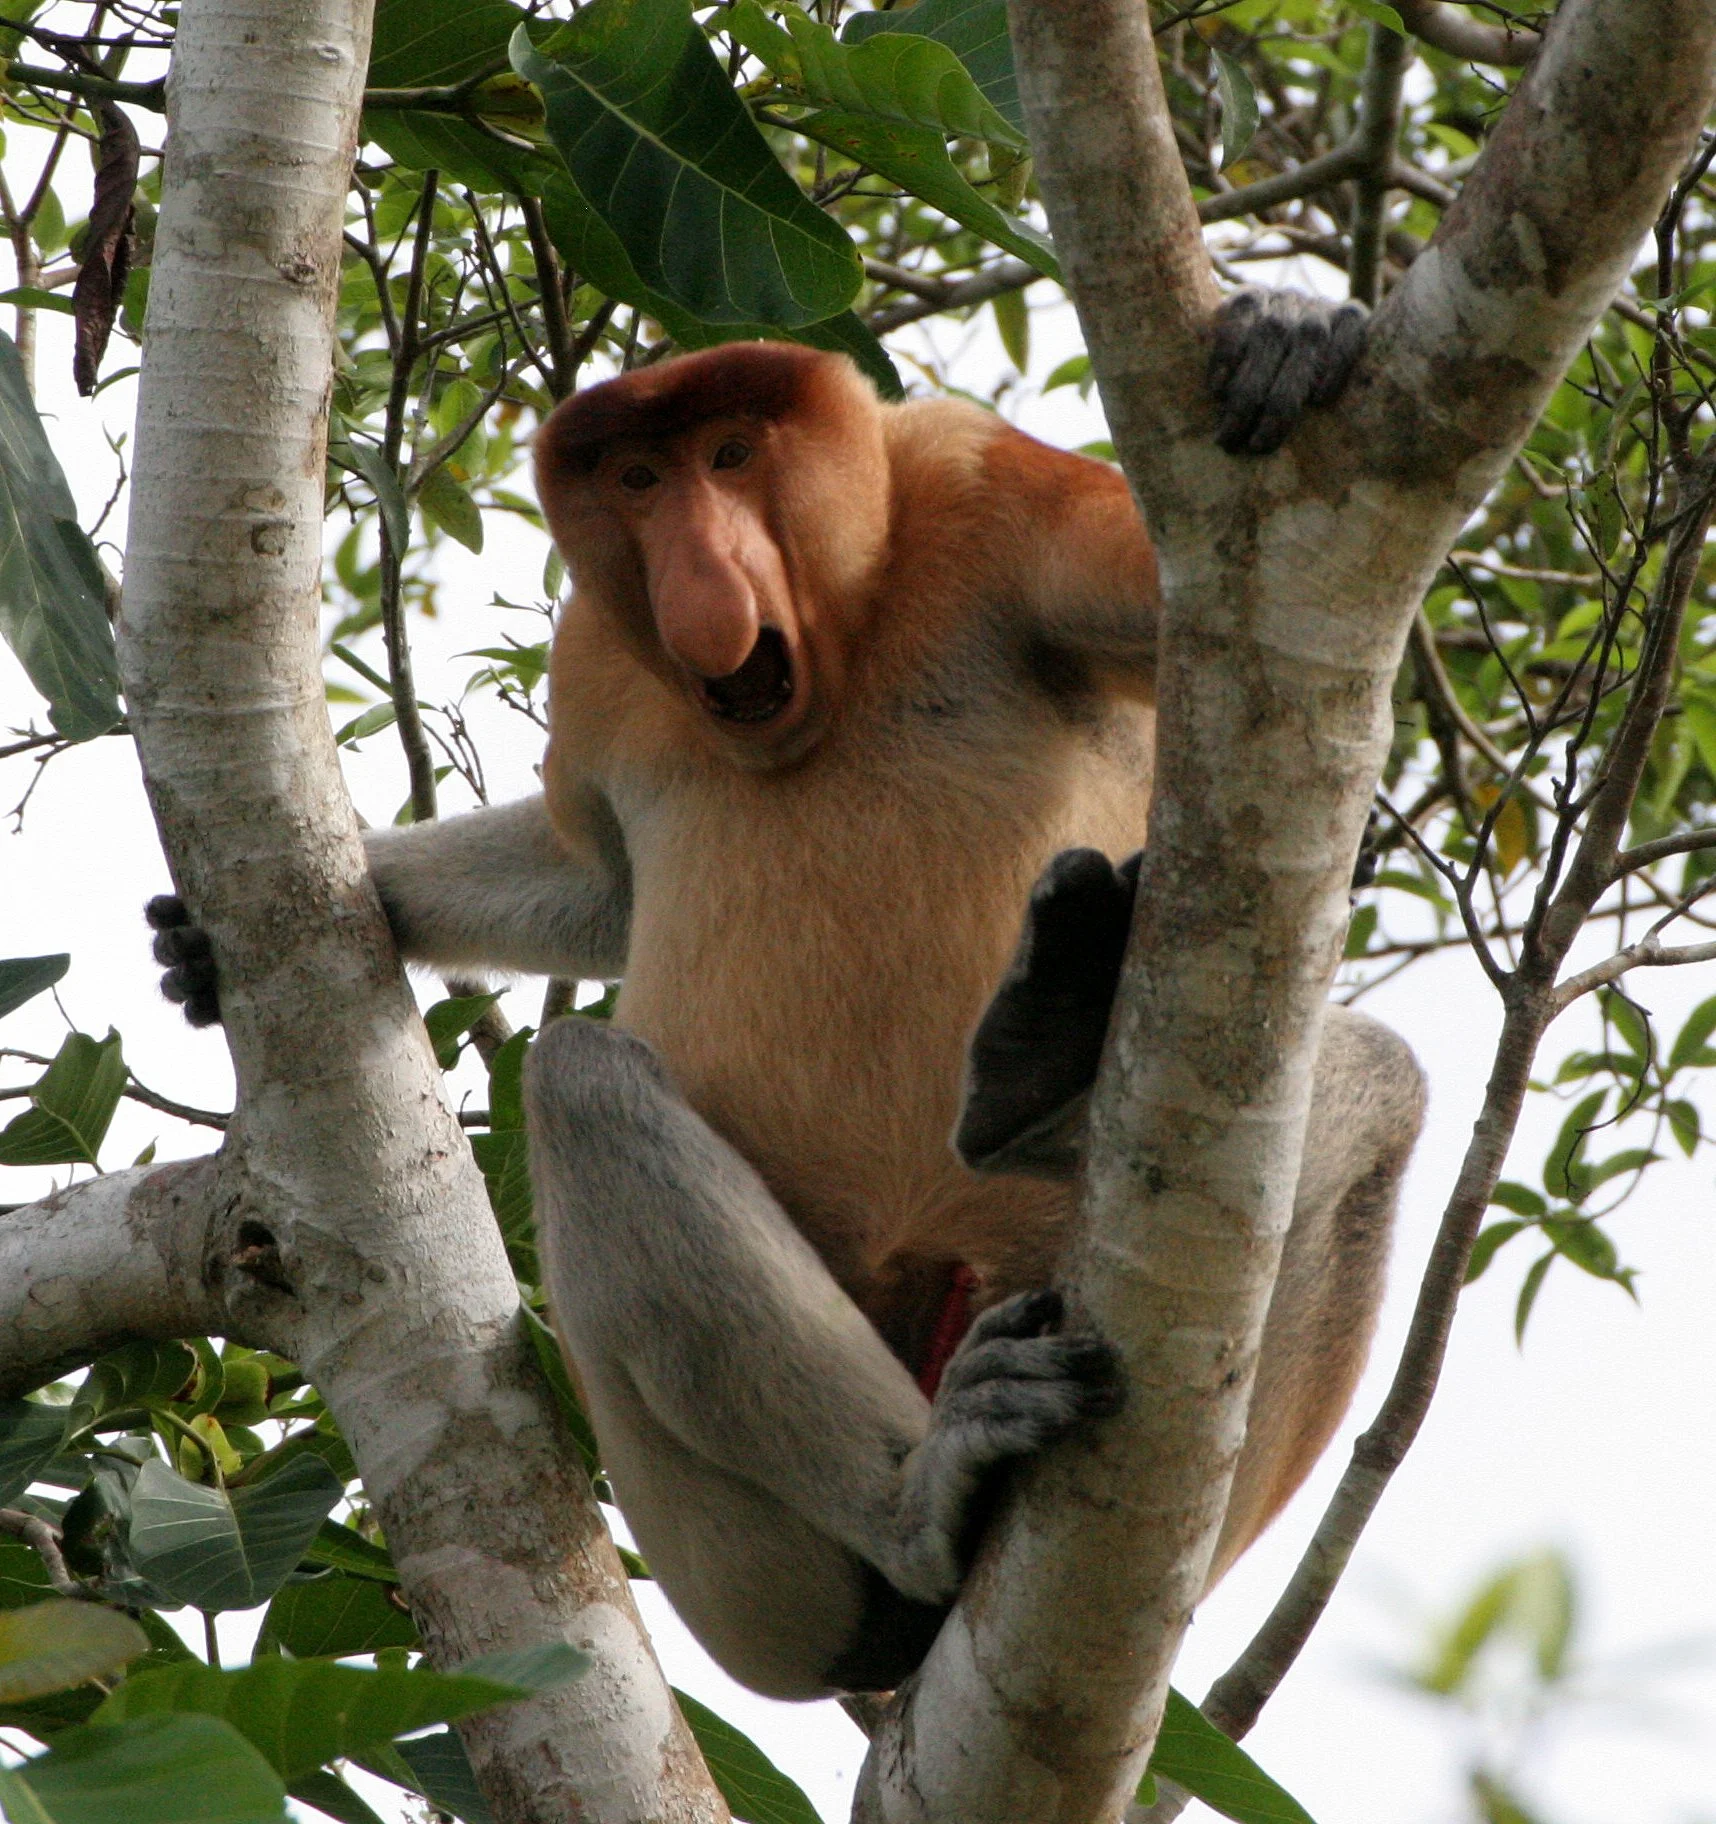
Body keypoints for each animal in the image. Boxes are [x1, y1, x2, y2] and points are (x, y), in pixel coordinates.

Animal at [151, 290, 1422, 1701]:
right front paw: (234, 935)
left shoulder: (994, 488)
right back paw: (927, 1500)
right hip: (735, 1579)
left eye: (731, 455)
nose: (701, 573)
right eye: (639, 482)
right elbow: (599, 883)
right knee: (586, 1085)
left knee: (1369, 1095)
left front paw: (1292, 340)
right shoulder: (597, 660)